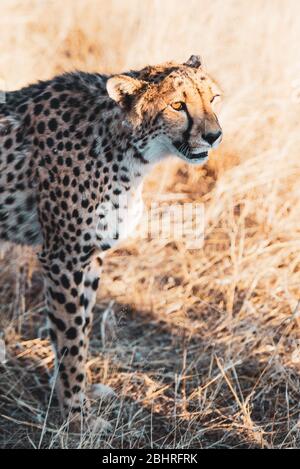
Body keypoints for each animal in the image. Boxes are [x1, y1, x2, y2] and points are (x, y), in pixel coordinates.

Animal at [0, 55, 223, 428]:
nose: (214, 135)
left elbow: (78, 329)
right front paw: (77, 415)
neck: (126, 146)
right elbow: (71, 337)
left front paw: (75, 395)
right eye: (177, 105)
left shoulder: (90, 256)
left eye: (213, 98)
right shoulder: (65, 258)